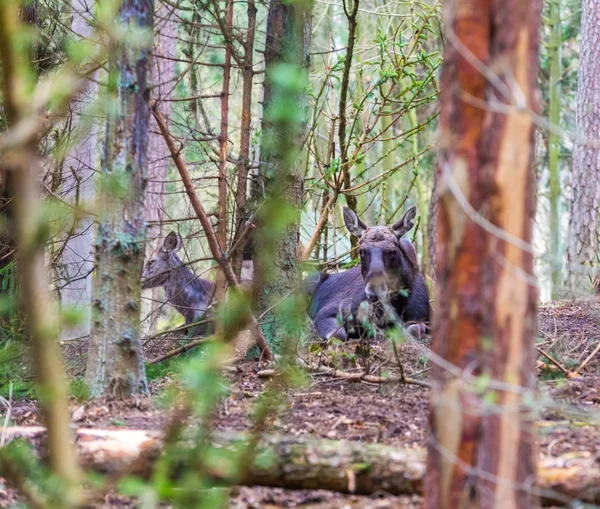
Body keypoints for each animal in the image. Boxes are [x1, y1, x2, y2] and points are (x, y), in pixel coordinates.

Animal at [308, 204, 428, 340]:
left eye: (393, 251)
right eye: (361, 251)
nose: (374, 292)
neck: (399, 302)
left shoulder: (421, 318)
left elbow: (414, 329)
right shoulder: (327, 312)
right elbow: (338, 334)